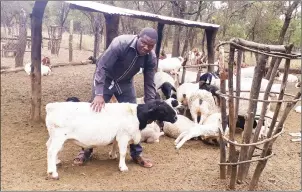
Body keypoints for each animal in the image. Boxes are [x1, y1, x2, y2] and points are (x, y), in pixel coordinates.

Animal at [44, 100, 177, 179]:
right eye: (163, 110)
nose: (176, 117)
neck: (137, 115)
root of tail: (51, 106)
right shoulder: (124, 135)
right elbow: (123, 152)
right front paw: (122, 167)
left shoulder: (118, 135)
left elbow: (114, 144)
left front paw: (112, 155)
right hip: (59, 136)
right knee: (51, 151)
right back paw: (53, 172)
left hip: (54, 136)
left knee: (49, 147)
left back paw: (56, 162)